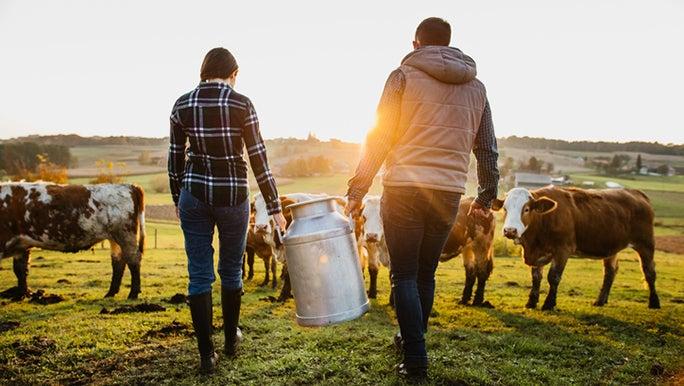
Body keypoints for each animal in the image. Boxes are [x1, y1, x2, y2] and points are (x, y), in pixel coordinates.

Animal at [0, 182, 146, 300]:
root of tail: (130, 186)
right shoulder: (21, 246)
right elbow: (20, 270)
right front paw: (21, 295)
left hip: (126, 235)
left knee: (133, 260)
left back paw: (133, 294)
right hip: (115, 239)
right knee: (118, 262)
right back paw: (110, 293)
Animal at [492, 187, 664, 310]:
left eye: (526, 209)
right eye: (505, 209)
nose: (510, 230)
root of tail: (636, 192)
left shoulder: (563, 250)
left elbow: (553, 277)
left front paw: (549, 304)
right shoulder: (536, 253)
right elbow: (536, 277)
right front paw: (531, 302)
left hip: (646, 243)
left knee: (649, 272)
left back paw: (654, 302)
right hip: (612, 247)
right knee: (610, 272)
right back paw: (600, 300)